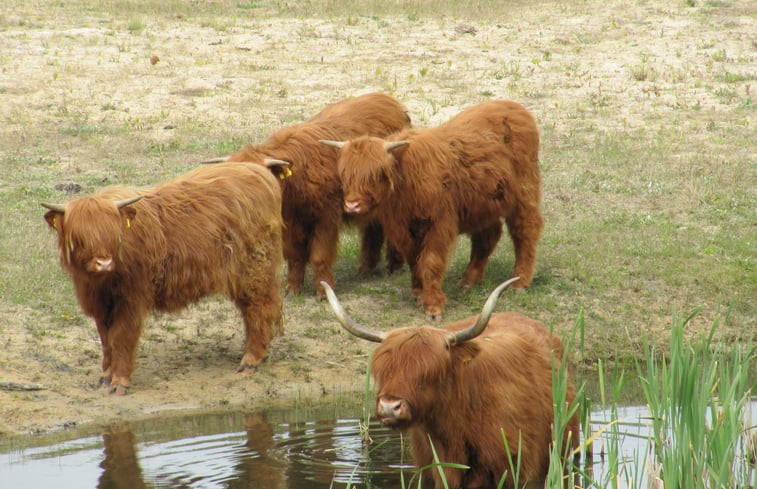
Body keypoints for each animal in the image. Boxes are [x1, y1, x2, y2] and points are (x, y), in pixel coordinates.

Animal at [44, 160, 286, 392]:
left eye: (114, 235)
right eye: (80, 237)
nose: (104, 263)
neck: (102, 282)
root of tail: (258, 171)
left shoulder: (131, 299)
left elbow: (121, 337)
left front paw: (119, 381)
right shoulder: (100, 304)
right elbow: (106, 339)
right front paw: (105, 376)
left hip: (255, 270)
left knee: (260, 308)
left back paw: (251, 360)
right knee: (251, 310)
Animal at [204, 91, 410, 298]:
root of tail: (387, 99)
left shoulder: (326, 218)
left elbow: (319, 256)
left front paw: (323, 290)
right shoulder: (289, 225)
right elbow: (295, 256)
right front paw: (293, 288)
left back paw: (394, 266)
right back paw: (366, 268)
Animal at [322, 99, 540, 320]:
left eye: (377, 173)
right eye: (345, 174)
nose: (352, 205)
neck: (406, 182)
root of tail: (513, 107)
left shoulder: (437, 226)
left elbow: (430, 263)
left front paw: (433, 306)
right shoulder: (403, 231)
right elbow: (414, 261)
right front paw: (419, 293)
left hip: (525, 192)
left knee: (525, 230)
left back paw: (520, 281)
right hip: (484, 204)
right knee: (488, 236)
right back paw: (468, 281)